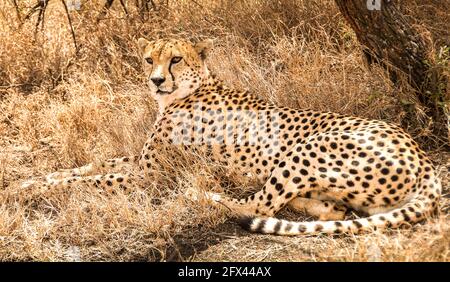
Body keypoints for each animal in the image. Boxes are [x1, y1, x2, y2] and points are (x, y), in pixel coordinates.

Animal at [26, 38, 442, 236]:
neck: (189, 90)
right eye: (149, 59)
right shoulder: (139, 162)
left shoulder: (150, 175)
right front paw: (36, 178)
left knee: (257, 204)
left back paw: (201, 194)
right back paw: (322, 206)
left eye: (175, 59)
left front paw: (28, 190)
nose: (156, 80)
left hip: (309, 148)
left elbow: (92, 180)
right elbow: (89, 166)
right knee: (319, 206)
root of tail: (425, 160)